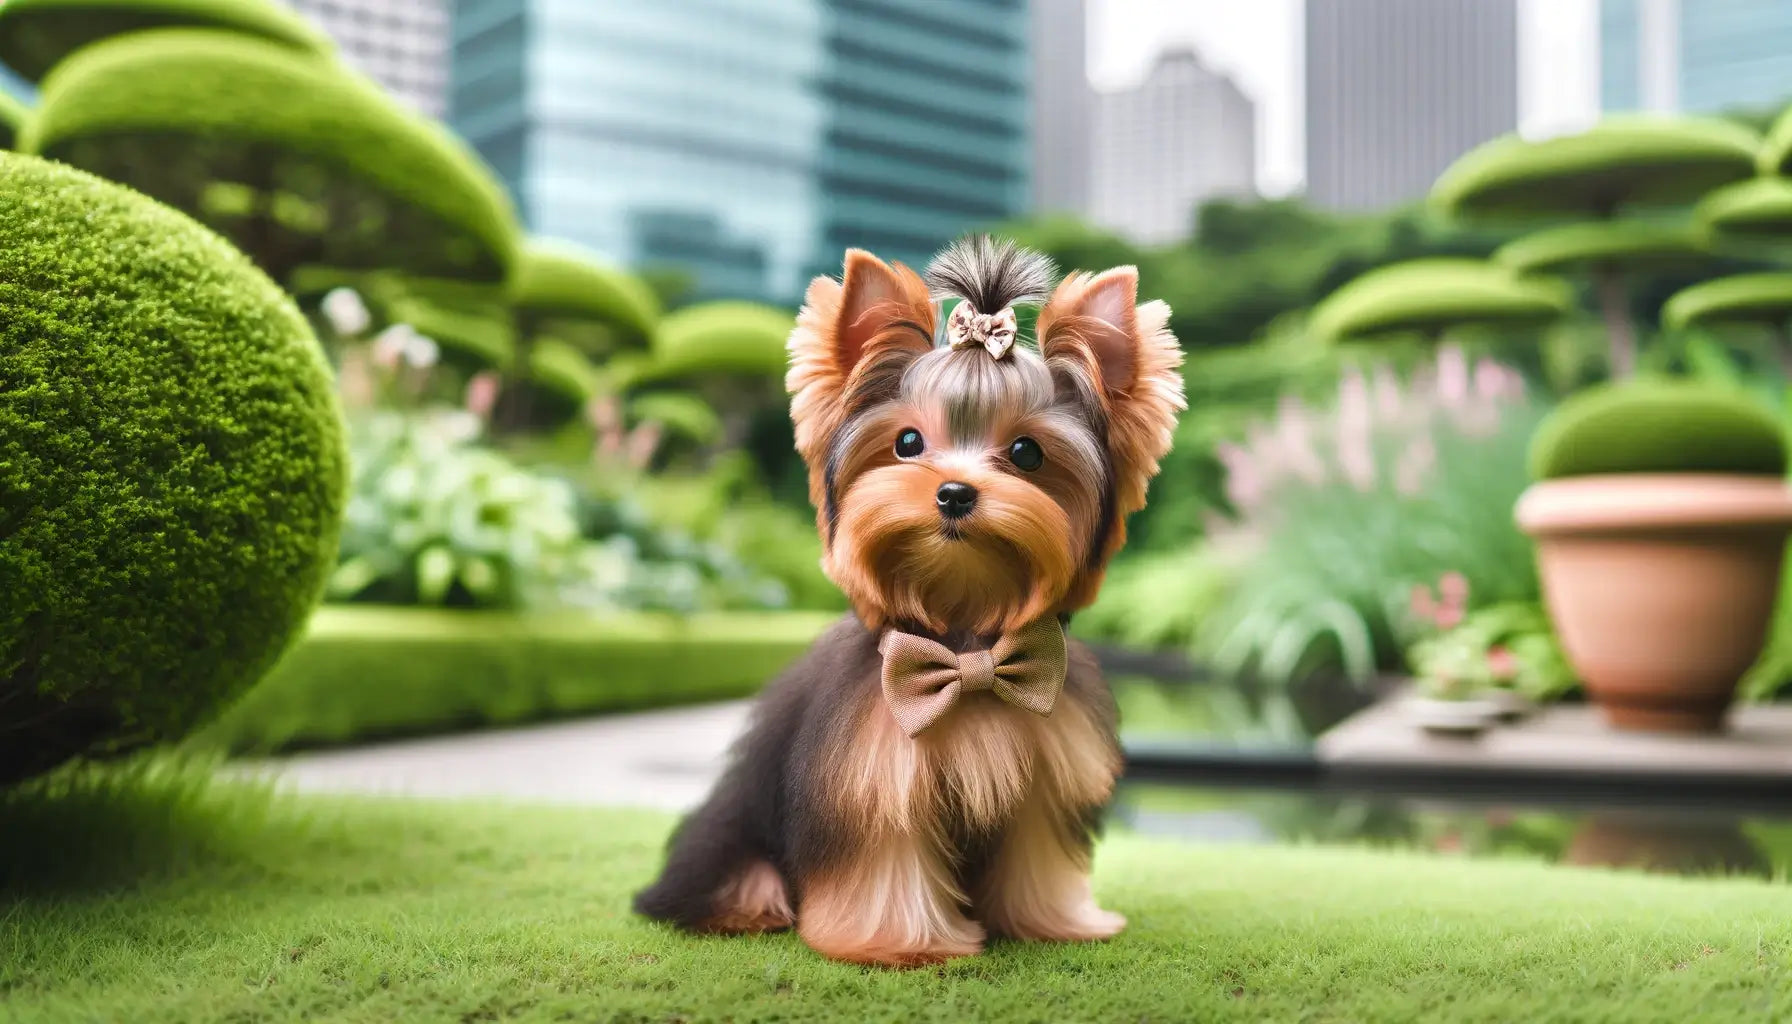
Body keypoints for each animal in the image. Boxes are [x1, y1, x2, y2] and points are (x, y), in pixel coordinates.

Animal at [637, 236, 1182, 968]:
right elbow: (884, 858)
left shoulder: (1046, 776)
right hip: (731, 840)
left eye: (1026, 452)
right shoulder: (874, 775)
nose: (953, 492)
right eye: (908, 443)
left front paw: (1048, 922)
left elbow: (1037, 854)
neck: (965, 637)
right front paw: (901, 944)